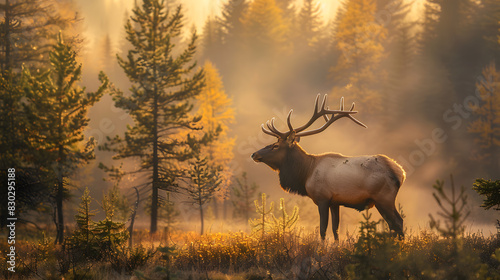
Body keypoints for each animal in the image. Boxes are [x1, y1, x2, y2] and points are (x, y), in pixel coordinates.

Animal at [250, 95, 406, 240]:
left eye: (275, 146)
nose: (254, 154)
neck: (306, 173)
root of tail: (400, 173)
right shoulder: (335, 202)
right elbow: (335, 229)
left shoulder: (322, 198)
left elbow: (323, 229)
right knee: (396, 223)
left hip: (383, 197)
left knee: (397, 222)